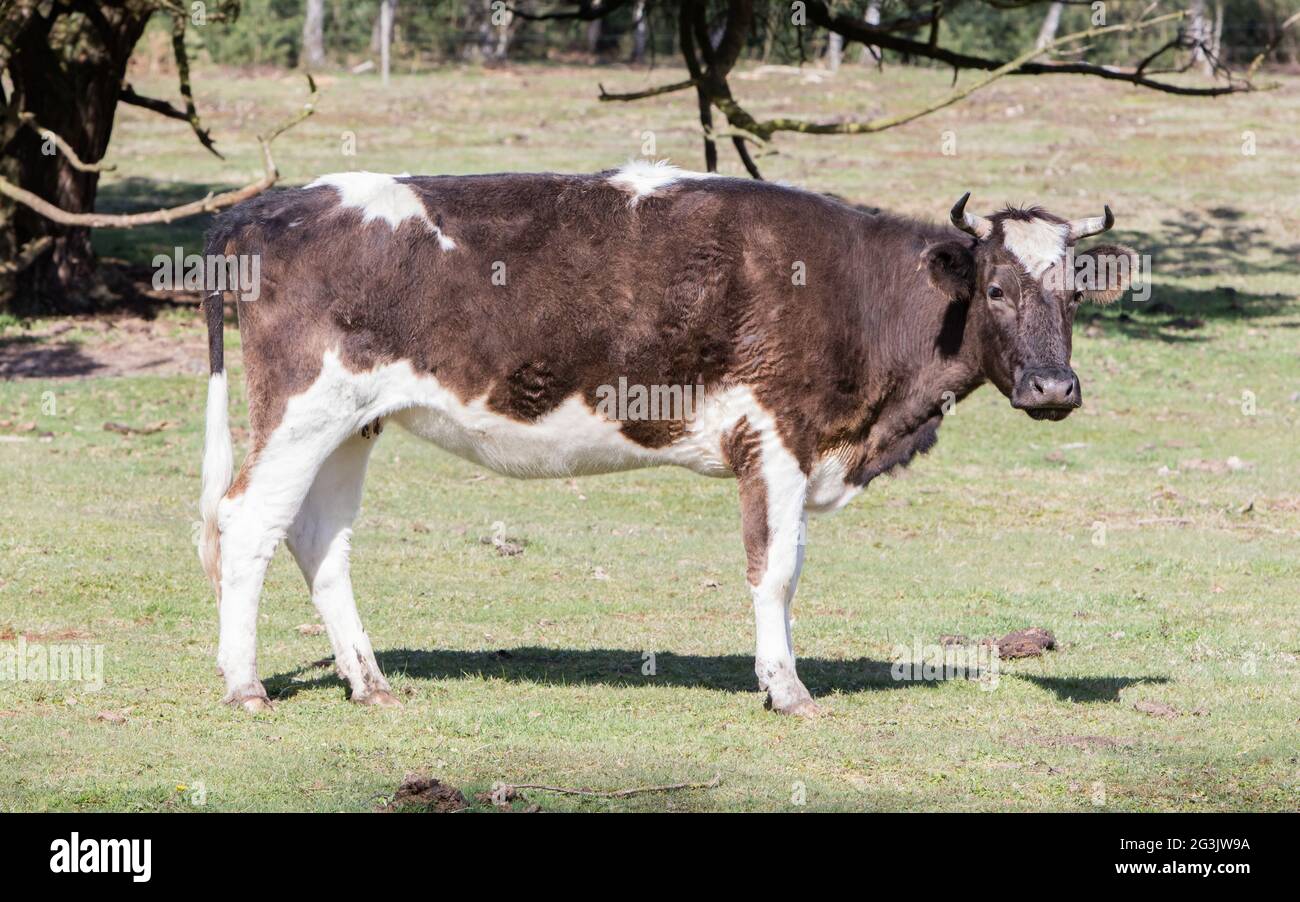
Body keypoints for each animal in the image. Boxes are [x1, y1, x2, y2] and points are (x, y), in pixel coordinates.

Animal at [198, 161, 1138, 716]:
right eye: (997, 288)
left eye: (1076, 293)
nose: (1054, 388)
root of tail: (274, 206)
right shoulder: (777, 439)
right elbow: (776, 569)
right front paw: (786, 689)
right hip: (303, 409)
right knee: (247, 525)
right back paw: (245, 685)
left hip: (351, 424)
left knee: (319, 539)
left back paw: (369, 681)